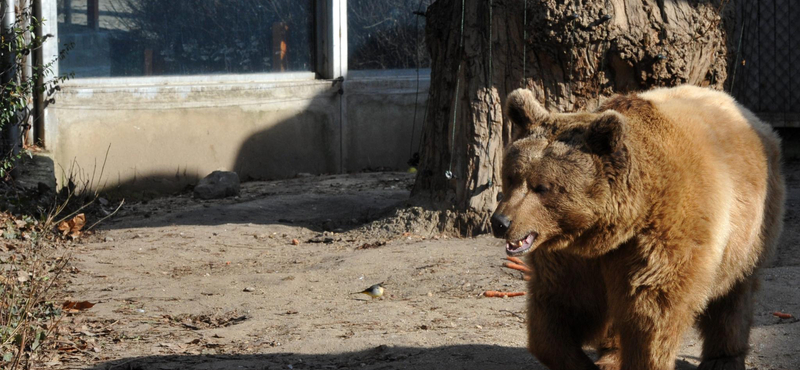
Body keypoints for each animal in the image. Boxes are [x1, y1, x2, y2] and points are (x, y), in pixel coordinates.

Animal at [490, 85, 784, 370]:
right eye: (512, 176)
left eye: (542, 187)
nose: (500, 222)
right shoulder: (571, 258)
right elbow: (559, 310)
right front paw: (580, 362)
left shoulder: (660, 239)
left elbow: (651, 314)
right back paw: (611, 356)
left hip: (749, 229)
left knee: (734, 295)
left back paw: (723, 359)